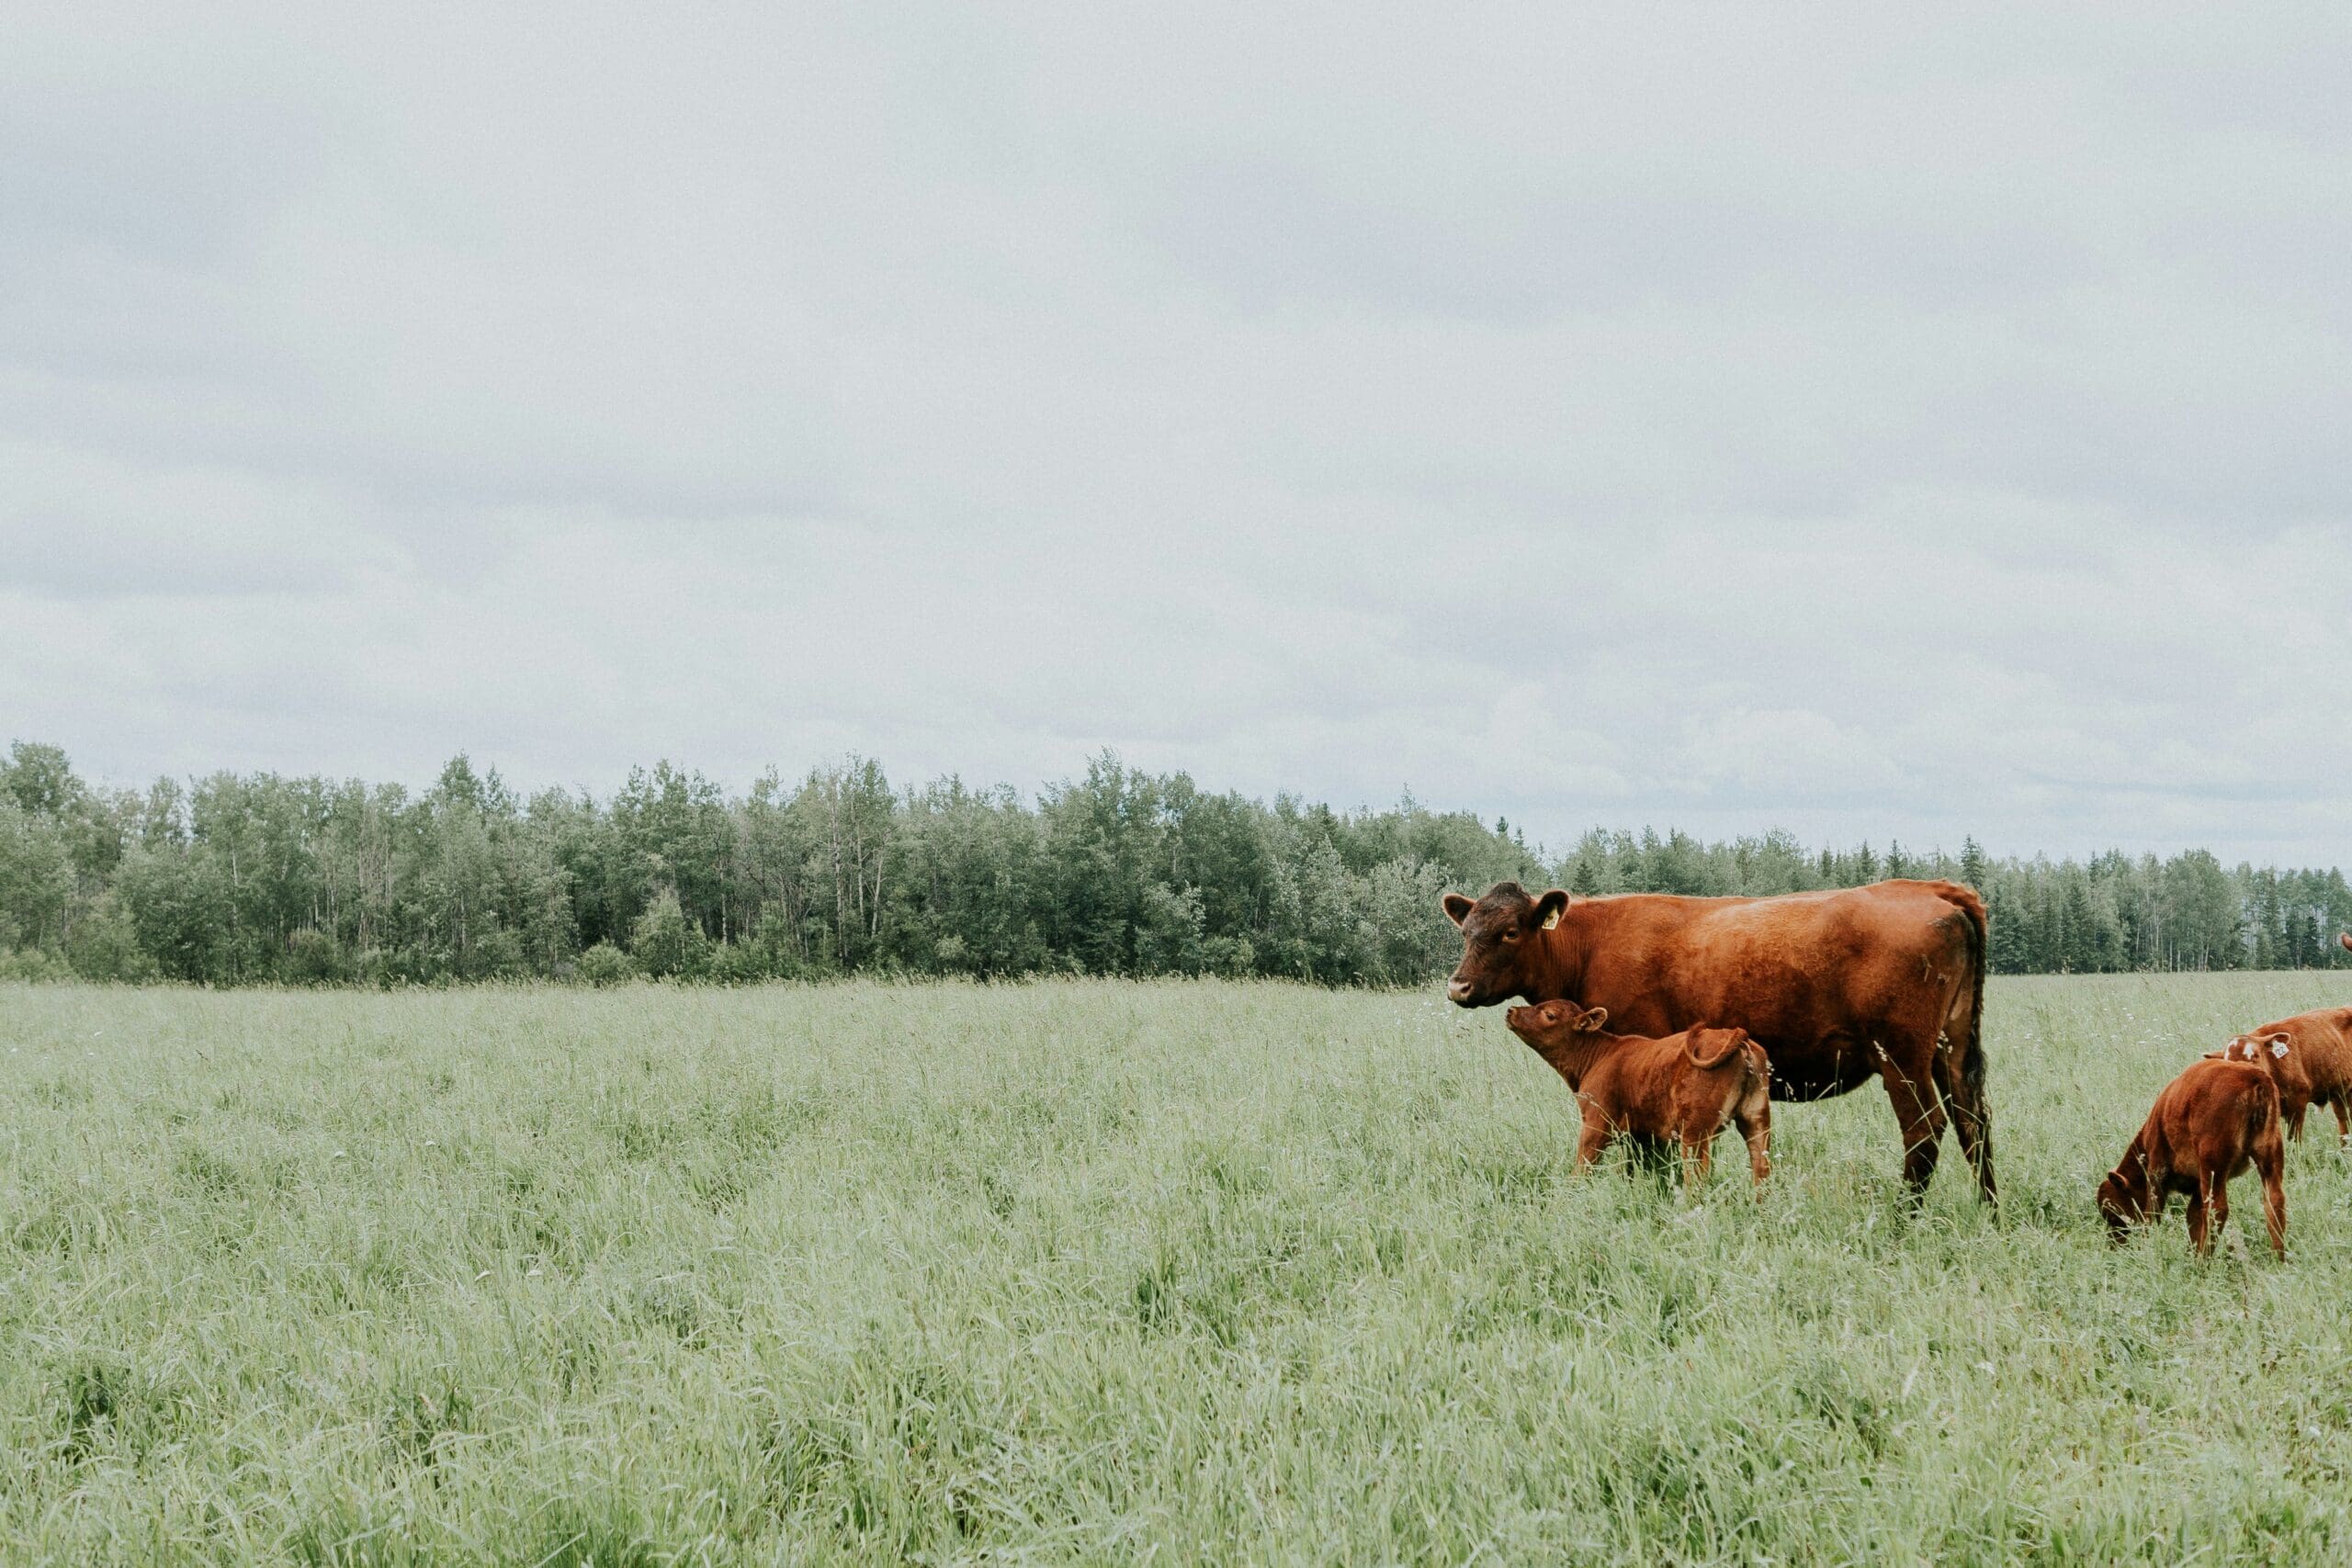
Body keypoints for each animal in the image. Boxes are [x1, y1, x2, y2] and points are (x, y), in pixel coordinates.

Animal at [1505, 1006, 1769, 1189]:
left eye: (1549, 1014)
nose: (1511, 1010)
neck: (1599, 1055)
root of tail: (1740, 1037)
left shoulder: (1596, 1124)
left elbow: (1583, 1165)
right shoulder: (1640, 1135)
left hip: (1695, 1133)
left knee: (1697, 1178)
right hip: (1756, 1120)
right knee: (1762, 1170)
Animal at [2098, 1053, 2277, 1259]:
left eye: (2112, 1213)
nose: (2113, 1246)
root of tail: (2255, 1078)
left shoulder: (2157, 1170)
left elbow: (2154, 1213)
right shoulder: (2198, 1185)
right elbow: (2194, 1220)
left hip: (2214, 1165)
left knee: (2218, 1210)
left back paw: (2204, 1261)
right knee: (2274, 1203)